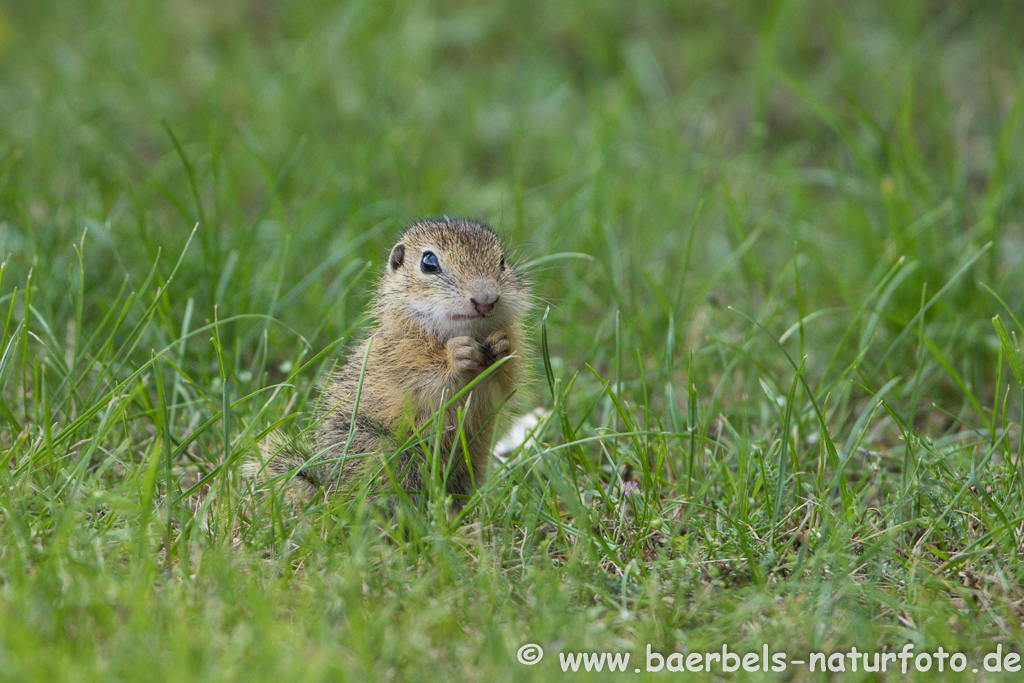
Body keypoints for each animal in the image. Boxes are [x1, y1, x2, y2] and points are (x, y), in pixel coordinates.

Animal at [248, 219, 532, 511]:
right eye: (429, 262)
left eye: (502, 261)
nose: (485, 300)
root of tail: (328, 490)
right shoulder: (399, 362)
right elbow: (426, 385)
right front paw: (457, 355)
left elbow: (502, 382)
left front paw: (501, 345)